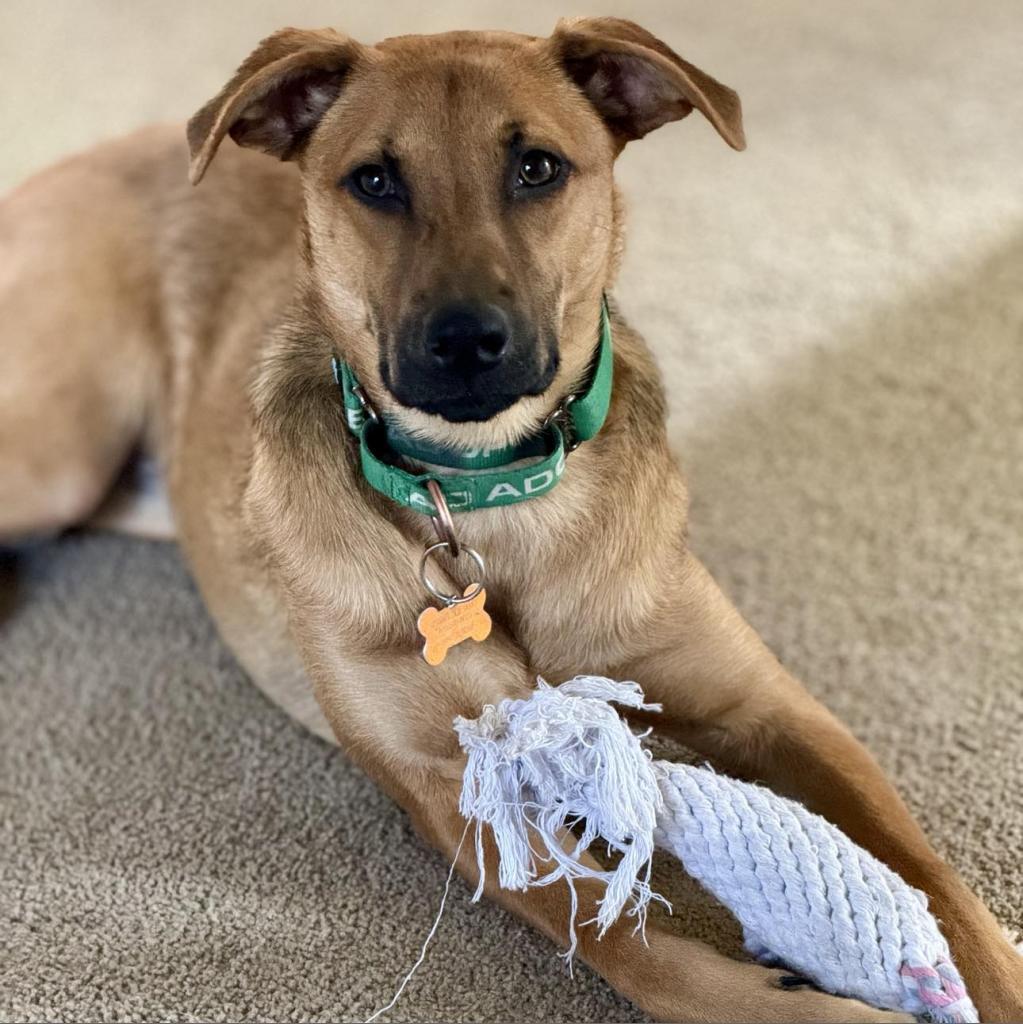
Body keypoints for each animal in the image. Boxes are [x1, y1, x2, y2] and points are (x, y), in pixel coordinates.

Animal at [2, 18, 1023, 1024]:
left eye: (536, 167)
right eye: (374, 180)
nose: (465, 341)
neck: (495, 492)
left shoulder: (767, 708)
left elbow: (930, 873)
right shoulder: (450, 785)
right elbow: (631, 946)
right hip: (57, 451)